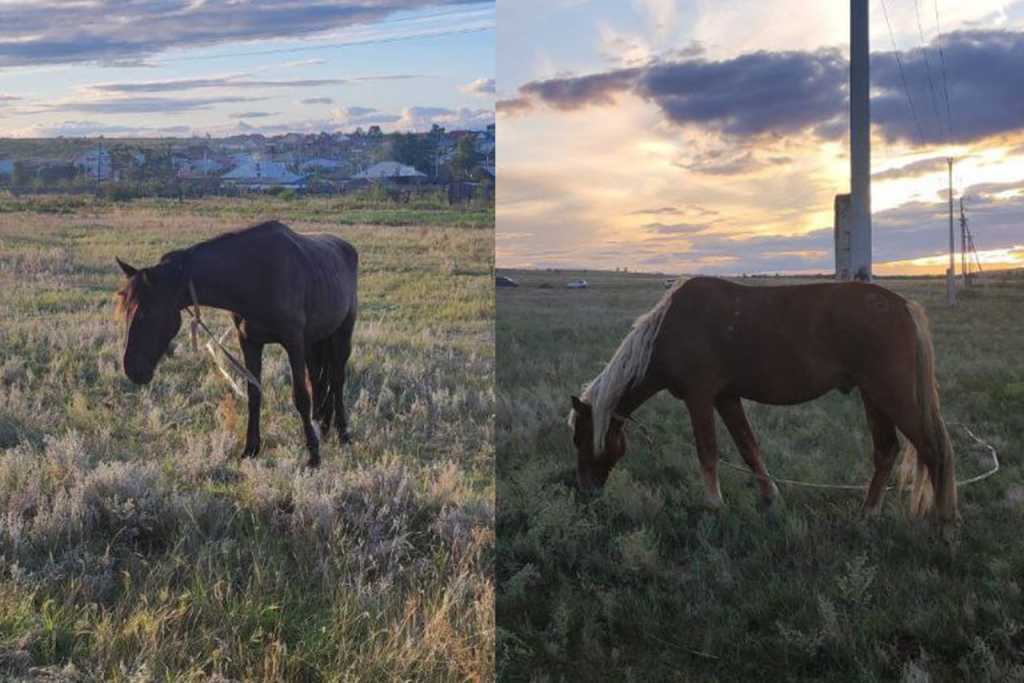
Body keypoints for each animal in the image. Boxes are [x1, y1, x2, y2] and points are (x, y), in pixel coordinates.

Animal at [114, 222, 356, 466]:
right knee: (318, 380)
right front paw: (251, 449)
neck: (255, 275)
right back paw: (322, 427)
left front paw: (313, 455)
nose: (131, 369)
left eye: (145, 313)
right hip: (315, 341)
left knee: (337, 380)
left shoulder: (293, 341)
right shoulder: (250, 342)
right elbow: (254, 394)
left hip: (342, 334)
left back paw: (342, 433)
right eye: (125, 311)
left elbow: (301, 397)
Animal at [569, 274, 958, 528]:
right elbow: (748, 448)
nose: (586, 492)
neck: (668, 329)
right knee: (887, 450)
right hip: (874, 396)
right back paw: (869, 514)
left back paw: (943, 523)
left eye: (580, 439)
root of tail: (903, 306)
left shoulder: (699, 397)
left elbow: (708, 452)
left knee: (933, 449)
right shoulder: (725, 398)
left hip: (892, 394)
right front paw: (771, 498)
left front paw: (714, 505)